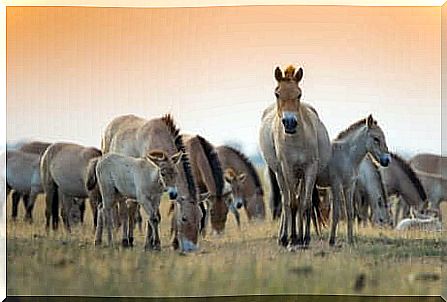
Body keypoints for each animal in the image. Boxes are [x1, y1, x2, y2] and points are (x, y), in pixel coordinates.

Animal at [260, 65, 332, 248]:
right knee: (286, 201)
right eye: (277, 93)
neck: (297, 140)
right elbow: (292, 204)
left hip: (300, 176)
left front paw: (304, 238)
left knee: (299, 201)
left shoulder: (309, 169)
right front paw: (293, 238)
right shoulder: (287, 168)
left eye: (299, 94)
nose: (290, 123)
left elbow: (305, 204)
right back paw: (283, 237)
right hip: (280, 174)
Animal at [316, 115, 390, 245]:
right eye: (376, 139)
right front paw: (331, 240)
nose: (387, 160)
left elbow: (350, 212)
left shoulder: (349, 186)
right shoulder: (336, 185)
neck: (347, 155)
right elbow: (336, 213)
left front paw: (350, 240)